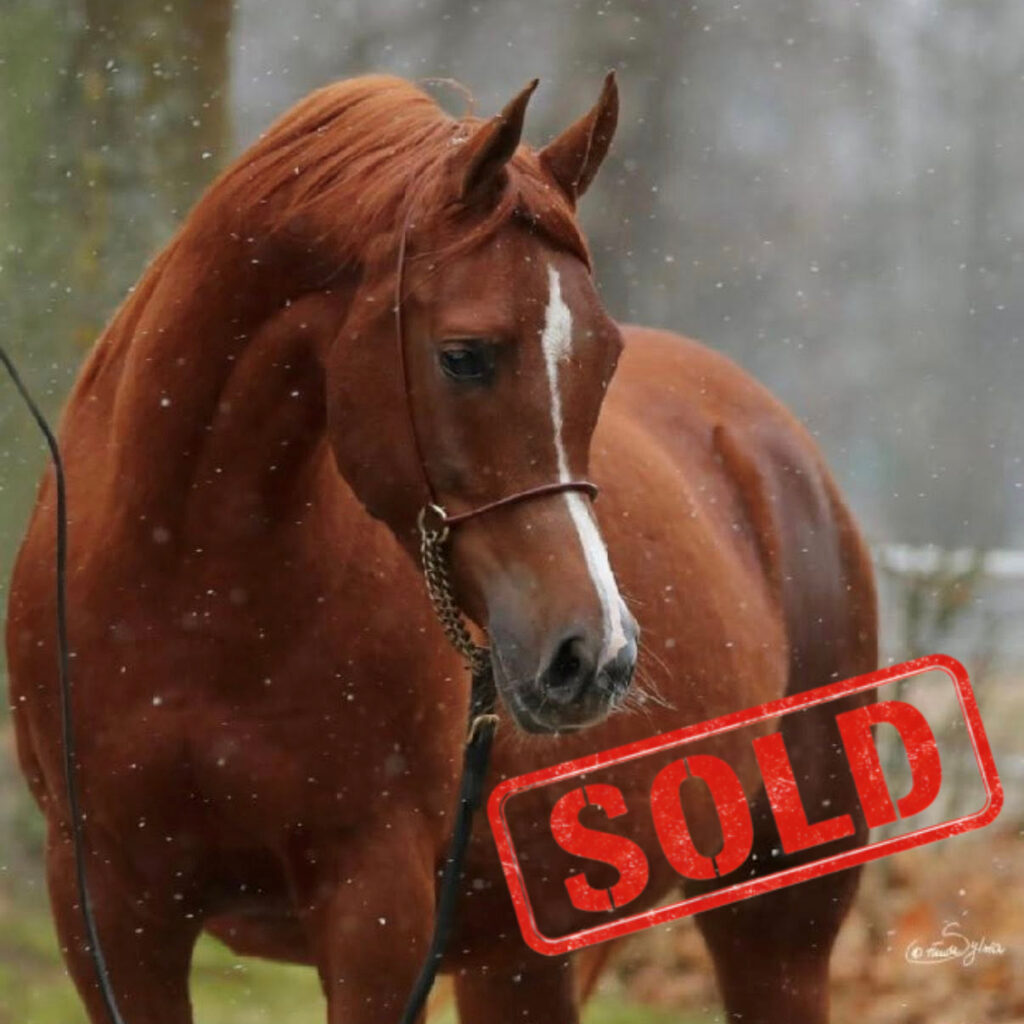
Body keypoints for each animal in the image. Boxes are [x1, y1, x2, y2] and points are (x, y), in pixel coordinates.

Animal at [5, 73, 877, 1024]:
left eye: (605, 358)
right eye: (463, 356)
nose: (594, 655)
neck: (195, 599)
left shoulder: (376, 911)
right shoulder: (111, 909)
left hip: (776, 923)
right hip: (523, 952)